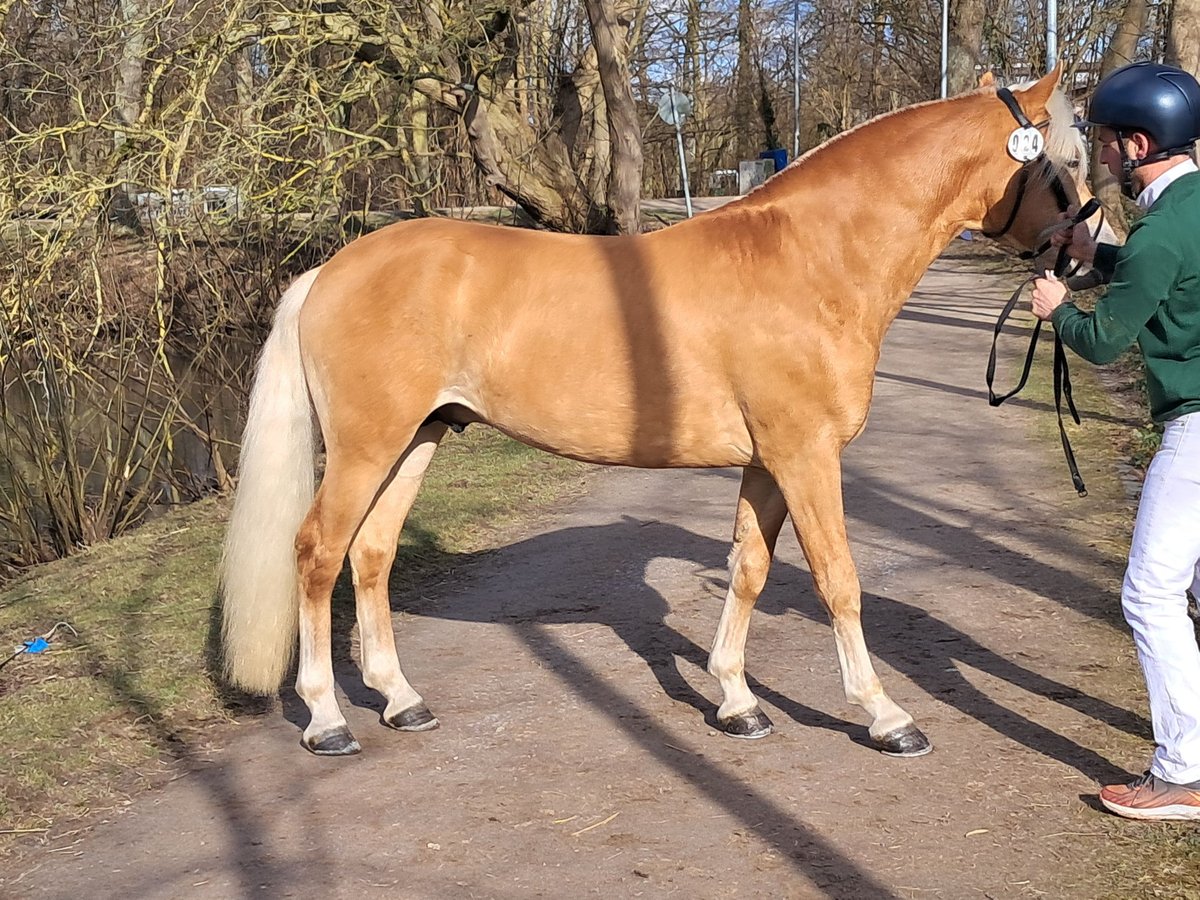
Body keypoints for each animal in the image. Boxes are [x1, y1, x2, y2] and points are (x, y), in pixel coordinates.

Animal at [220, 68, 1099, 753]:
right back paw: (328, 719)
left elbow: (748, 571)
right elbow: (839, 579)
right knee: (318, 553)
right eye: (1067, 161)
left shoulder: (767, 463)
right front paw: (885, 714)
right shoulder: (807, 455)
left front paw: (737, 703)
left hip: (419, 438)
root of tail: (330, 268)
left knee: (371, 554)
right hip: (366, 445)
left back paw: (401, 700)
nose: (1092, 257)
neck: (810, 259)